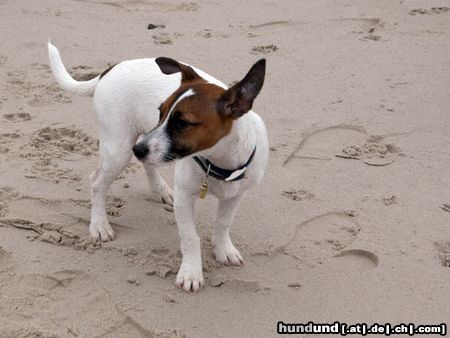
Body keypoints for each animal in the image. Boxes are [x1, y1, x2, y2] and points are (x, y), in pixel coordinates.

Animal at [48, 41, 268, 292]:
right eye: (160, 113)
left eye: (182, 123)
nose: (138, 150)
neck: (219, 161)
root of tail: (112, 68)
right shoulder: (184, 198)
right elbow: (190, 238)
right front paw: (191, 272)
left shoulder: (235, 195)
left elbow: (223, 223)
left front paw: (224, 250)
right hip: (119, 149)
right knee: (97, 182)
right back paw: (99, 224)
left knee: (147, 164)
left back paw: (159, 189)